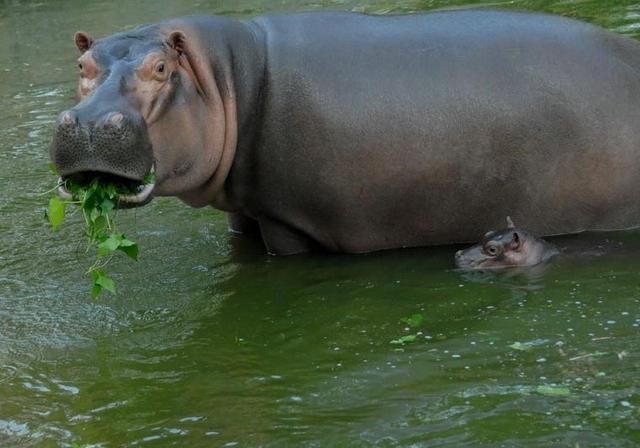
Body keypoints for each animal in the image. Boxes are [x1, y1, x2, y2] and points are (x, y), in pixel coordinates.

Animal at [51, 11, 640, 256]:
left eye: (160, 69)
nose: (88, 122)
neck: (226, 78)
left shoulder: (287, 222)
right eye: (82, 64)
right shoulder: (246, 212)